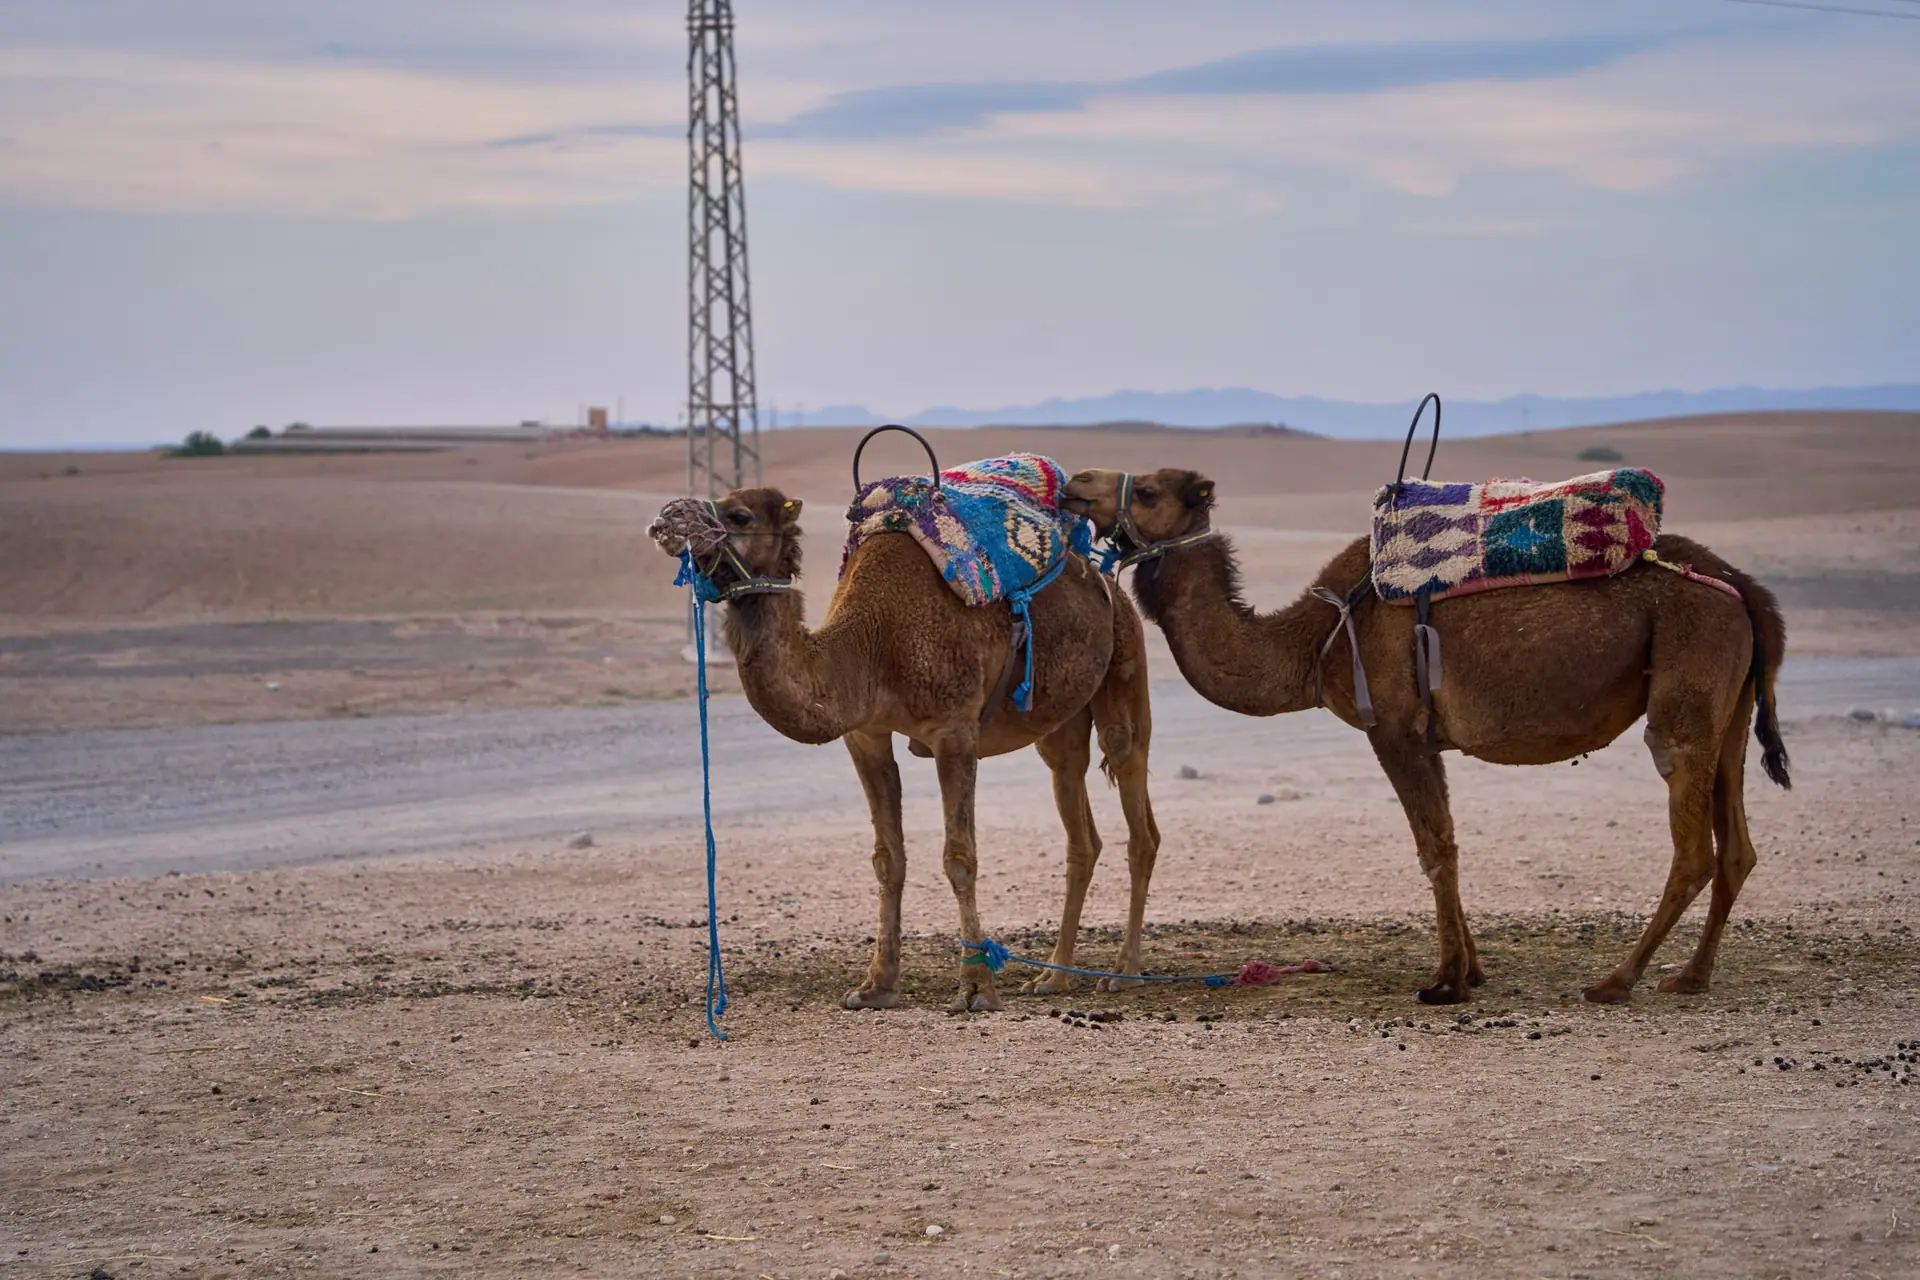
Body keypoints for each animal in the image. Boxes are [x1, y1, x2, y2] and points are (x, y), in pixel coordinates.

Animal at [649, 486, 1161, 1013]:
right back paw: (1055, 976)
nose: (666, 518)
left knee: (1137, 809)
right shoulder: (865, 735)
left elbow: (960, 858)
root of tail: (1104, 581)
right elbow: (887, 858)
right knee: (1080, 824)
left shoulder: (954, 730)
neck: (872, 644)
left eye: (739, 515)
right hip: (1059, 723)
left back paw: (1124, 971)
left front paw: (975, 986)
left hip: (1127, 661)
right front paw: (876, 984)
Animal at [1063, 467, 1790, 1005]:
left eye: (1147, 490)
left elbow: (1432, 847)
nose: (1075, 482)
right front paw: (1472, 970)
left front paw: (1444, 982)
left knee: (1692, 841)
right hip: (1730, 709)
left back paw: (1617, 979)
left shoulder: (1394, 729)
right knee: (1737, 845)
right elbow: (1450, 842)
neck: (1314, 640)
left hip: (1687, 682)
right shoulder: (1429, 738)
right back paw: (1690, 976)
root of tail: (1746, 590)